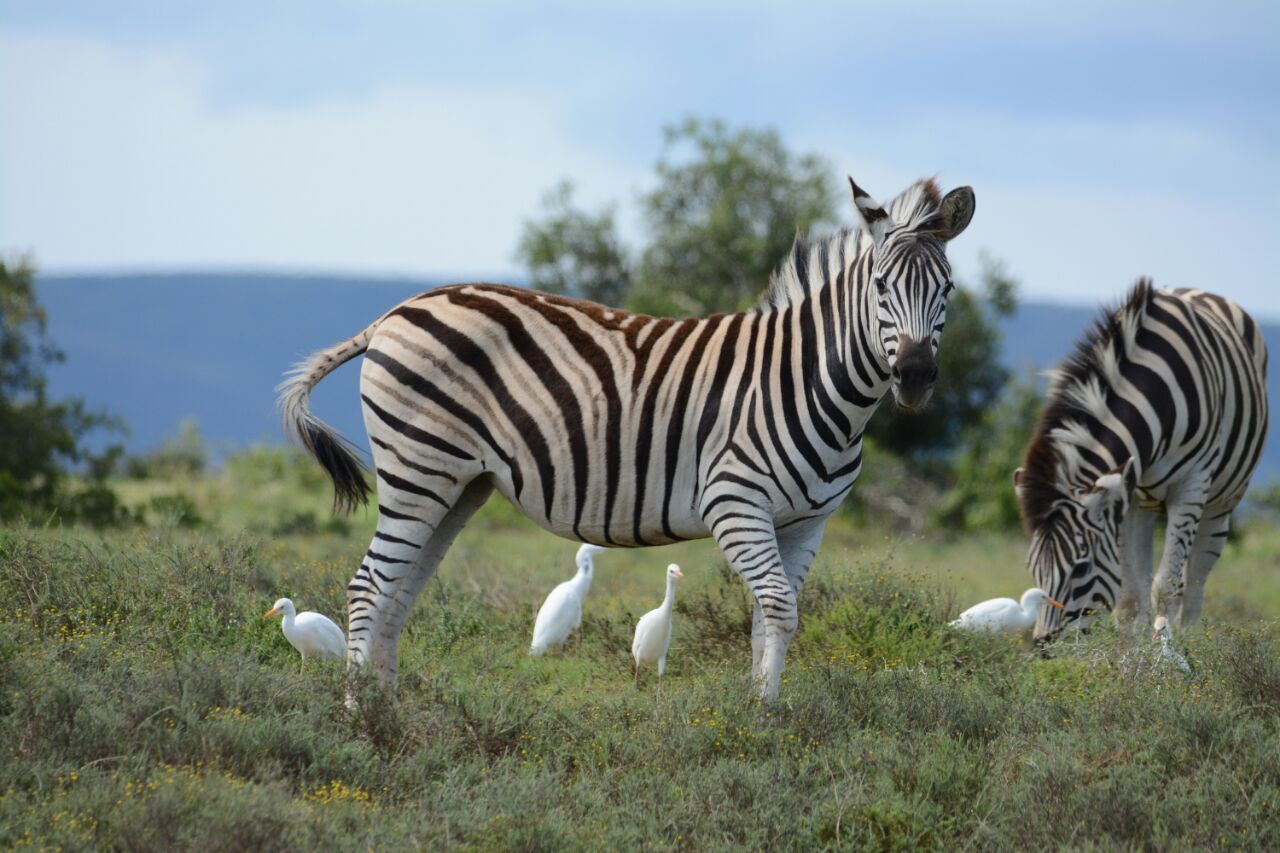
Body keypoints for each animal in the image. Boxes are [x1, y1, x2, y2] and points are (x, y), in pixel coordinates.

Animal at [279, 175, 976, 700]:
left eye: (947, 290)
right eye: (881, 287)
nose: (915, 376)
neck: (808, 382)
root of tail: (393, 314)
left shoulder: (807, 522)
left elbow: (770, 618)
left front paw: (765, 711)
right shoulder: (735, 503)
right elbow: (778, 608)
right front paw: (763, 722)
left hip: (458, 483)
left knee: (399, 590)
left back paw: (389, 711)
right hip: (418, 467)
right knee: (369, 588)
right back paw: (361, 721)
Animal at [1014, 280, 1268, 643]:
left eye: (1081, 567)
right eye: (1031, 567)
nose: (1043, 647)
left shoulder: (1191, 485)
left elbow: (1166, 587)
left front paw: (1164, 652)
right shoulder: (1125, 495)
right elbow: (1129, 594)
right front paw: (1130, 652)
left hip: (1224, 499)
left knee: (1195, 579)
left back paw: (1191, 639)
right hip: (1144, 504)